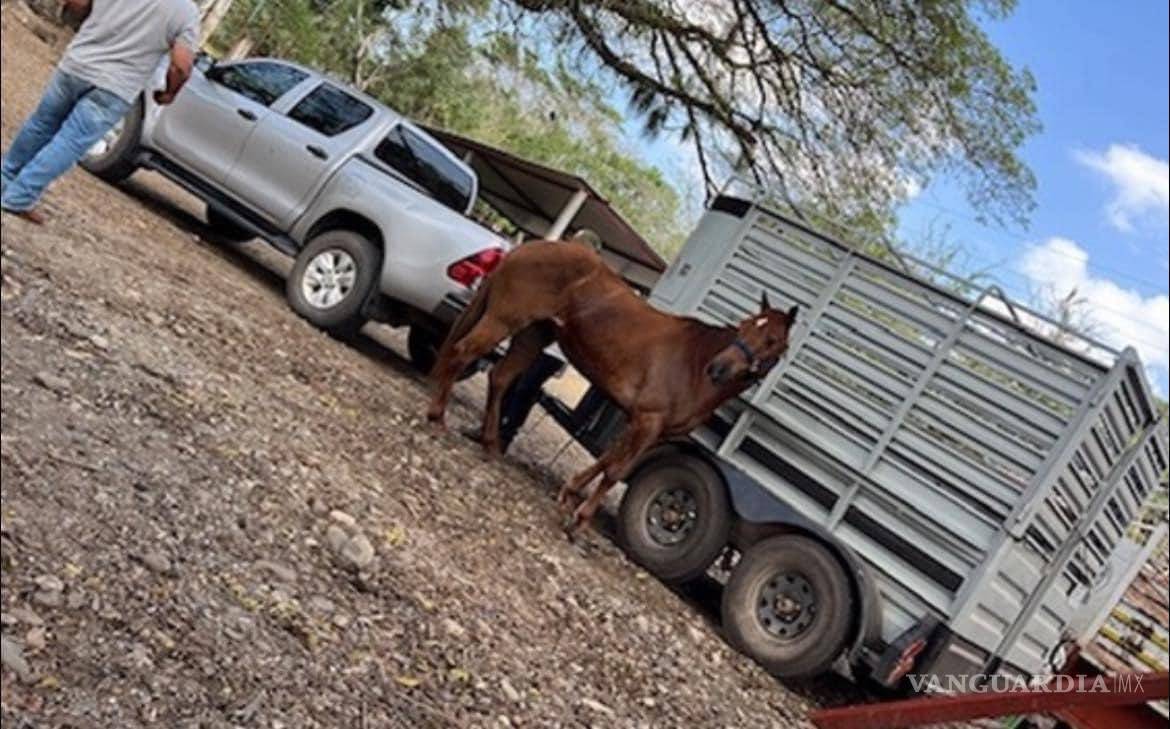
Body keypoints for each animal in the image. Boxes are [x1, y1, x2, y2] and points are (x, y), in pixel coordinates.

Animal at [426, 240, 797, 535]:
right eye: (745, 326)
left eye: (771, 340)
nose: (718, 369)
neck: (692, 364)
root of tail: (530, 246)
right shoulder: (647, 420)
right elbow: (616, 469)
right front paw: (579, 519)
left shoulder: (647, 428)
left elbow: (609, 460)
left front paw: (569, 494)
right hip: (503, 321)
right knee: (461, 354)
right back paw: (437, 418)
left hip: (533, 335)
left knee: (500, 378)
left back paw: (489, 444)